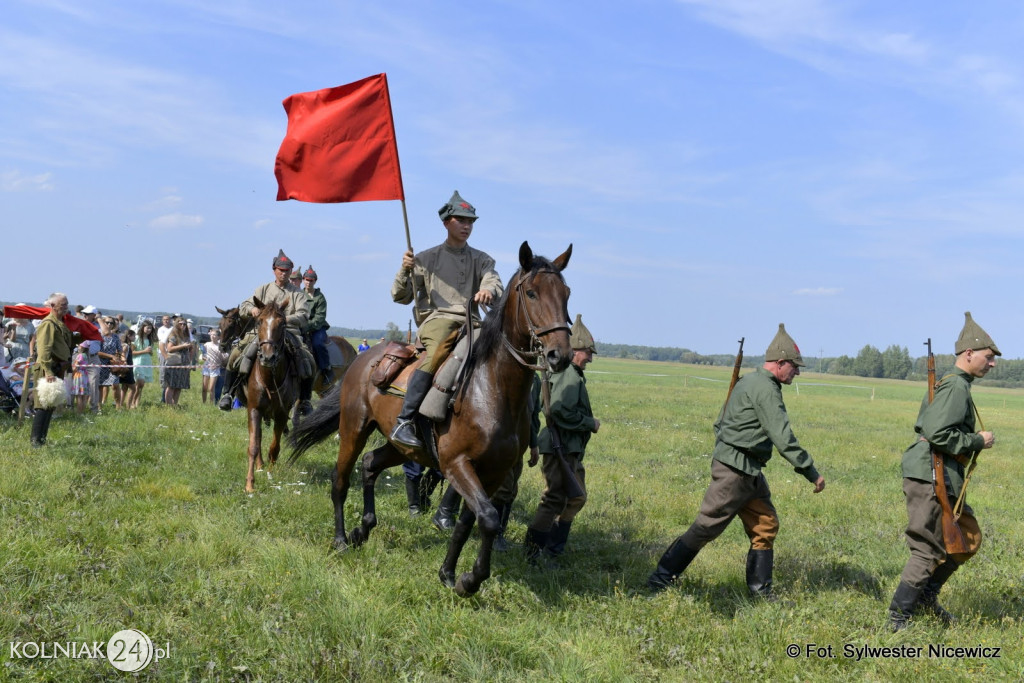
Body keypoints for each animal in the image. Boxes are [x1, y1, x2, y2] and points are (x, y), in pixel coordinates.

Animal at [292, 242, 573, 593]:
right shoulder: (457, 464)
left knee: (370, 464)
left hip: (403, 448)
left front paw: (451, 575)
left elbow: (470, 521)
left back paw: (363, 529)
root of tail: (363, 359)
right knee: (340, 480)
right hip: (354, 429)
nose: (560, 355)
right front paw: (470, 580)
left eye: (566, 293)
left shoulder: (493, 471)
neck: (491, 387)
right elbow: (489, 518)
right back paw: (342, 538)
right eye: (532, 293)